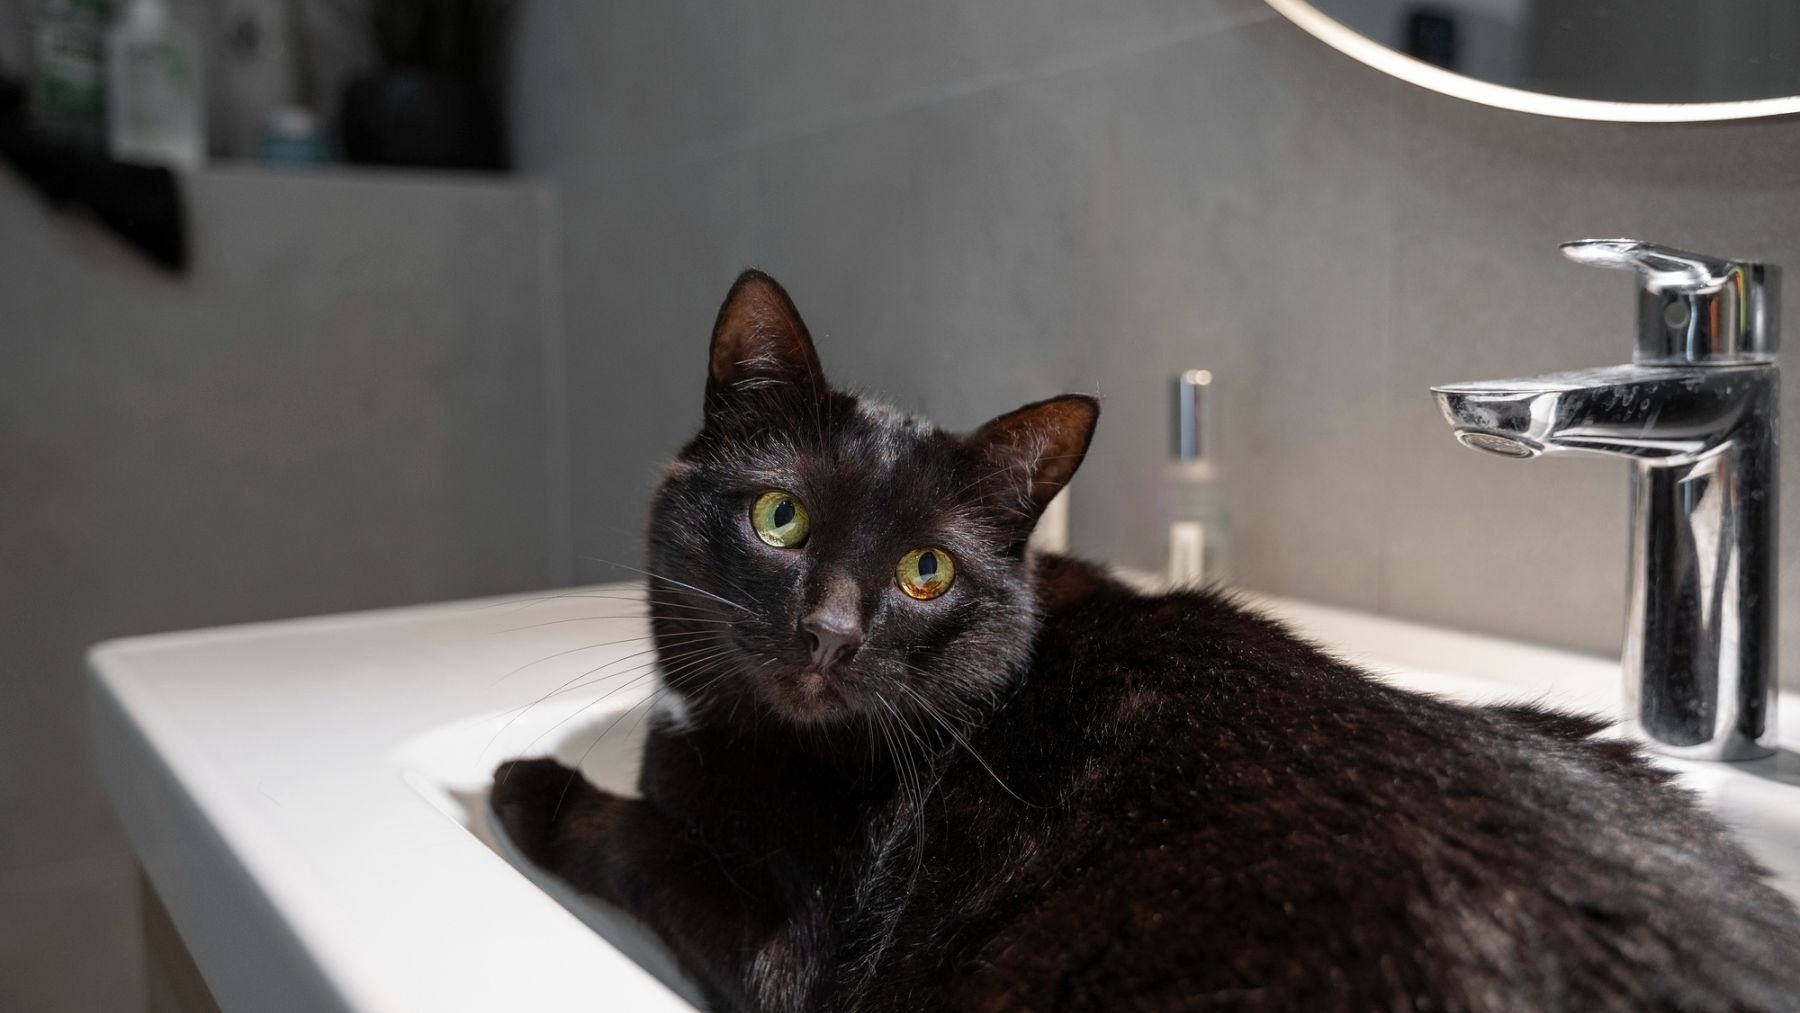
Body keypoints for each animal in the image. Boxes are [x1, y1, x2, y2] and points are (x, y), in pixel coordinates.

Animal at [493, 269, 1800, 1013]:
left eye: (925, 572)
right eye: (780, 518)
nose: (830, 629)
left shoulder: (794, 954)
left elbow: (642, 839)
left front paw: (531, 786)